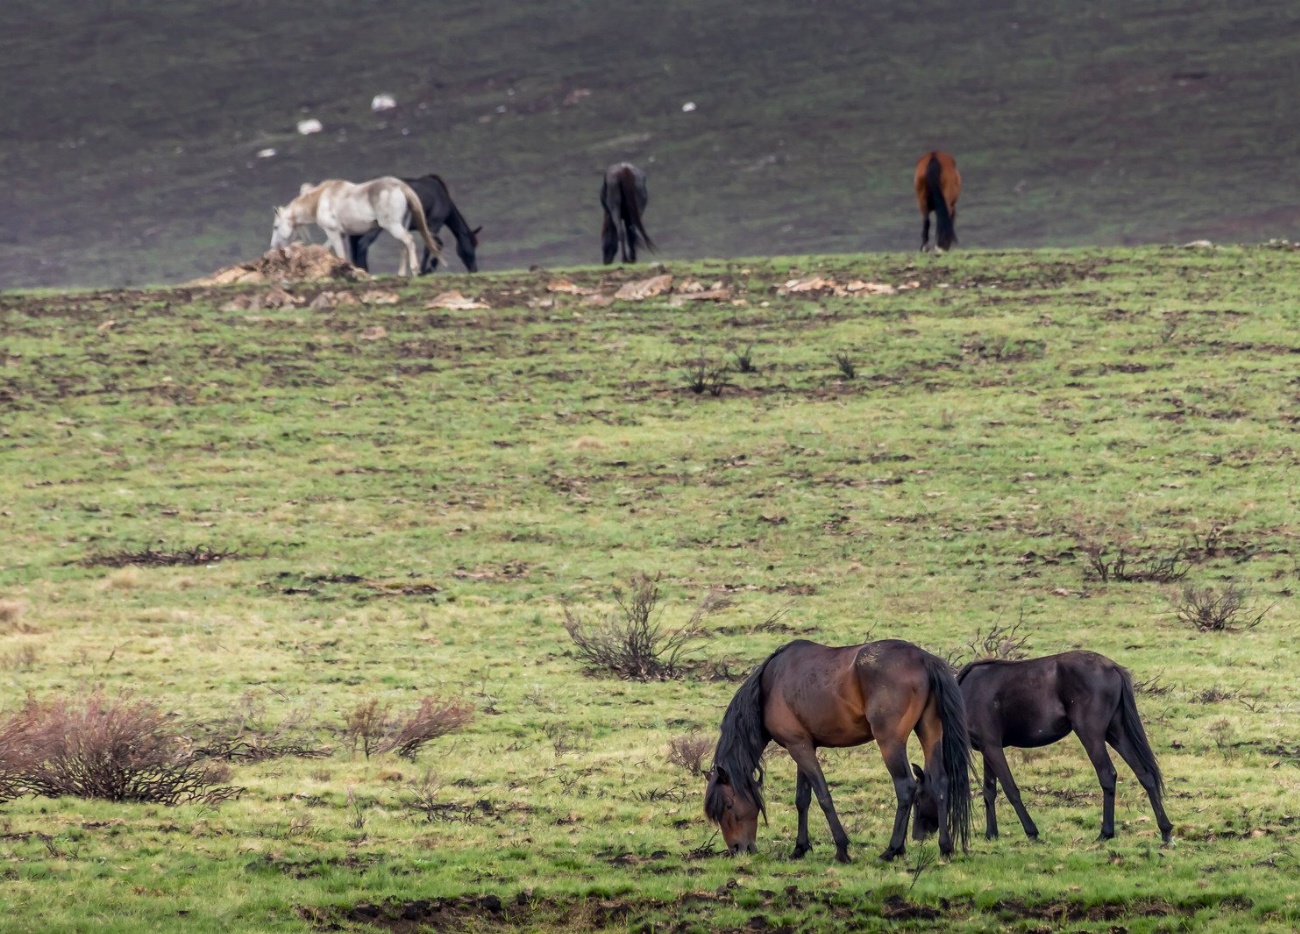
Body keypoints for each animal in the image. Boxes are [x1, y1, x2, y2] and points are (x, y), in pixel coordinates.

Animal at [270, 177, 441, 276]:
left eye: (276, 227)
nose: (274, 246)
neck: (320, 200)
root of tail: (400, 186)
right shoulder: (340, 234)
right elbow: (325, 248)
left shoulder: (333, 233)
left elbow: (341, 255)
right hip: (401, 224)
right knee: (403, 246)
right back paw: (401, 274)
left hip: (393, 226)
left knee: (409, 241)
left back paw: (415, 269)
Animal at [348, 174, 481, 274]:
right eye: (471, 245)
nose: (474, 269)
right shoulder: (434, 224)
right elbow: (431, 246)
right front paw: (424, 270)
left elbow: (436, 244)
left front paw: (428, 268)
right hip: (375, 227)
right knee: (362, 244)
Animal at [704, 639, 972, 863]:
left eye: (727, 806)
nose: (738, 848)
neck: (769, 686)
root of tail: (924, 658)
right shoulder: (803, 745)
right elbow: (802, 800)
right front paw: (800, 848)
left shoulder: (799, 747)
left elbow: (823, 796)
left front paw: (842, 849)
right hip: (930, 733)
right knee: (940, 783)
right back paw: (945, 848)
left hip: (890, 743)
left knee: (905, 787)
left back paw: (892, 850)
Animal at [911, 651, 1174, 845]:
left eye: (918, 798)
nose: (916, 836)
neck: (965, 695)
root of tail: (1112, 667)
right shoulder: (987, 750)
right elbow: (989, 792)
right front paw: (991, 834)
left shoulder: (993, 748)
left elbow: (1010, 790)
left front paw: (1032, 832)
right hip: (1116, 733)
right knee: (1144, 774)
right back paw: (1165, 830)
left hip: (1091, 735)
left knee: (1107, 775)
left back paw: (1106, 832)